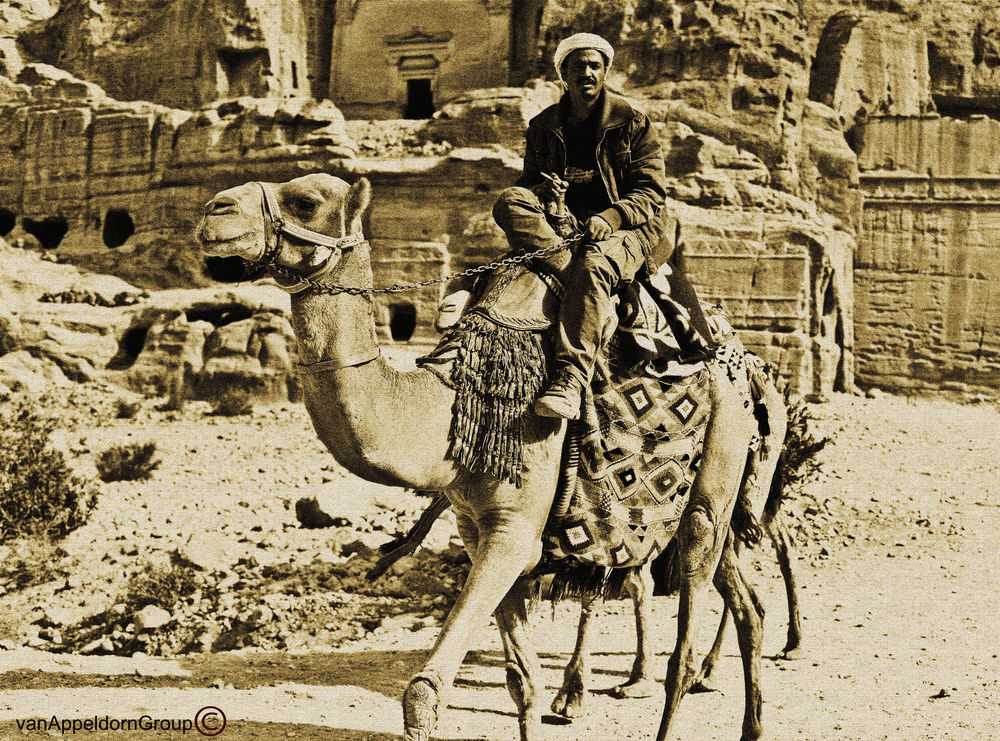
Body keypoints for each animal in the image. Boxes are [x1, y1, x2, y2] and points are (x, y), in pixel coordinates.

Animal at [197, 172, 764, 740]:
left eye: (306, 201)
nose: (214, 211)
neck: (447, 402)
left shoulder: (515, 529)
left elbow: (423, 693)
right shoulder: (477, 528)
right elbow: (522, 682)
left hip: (715, 473)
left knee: (685, 633)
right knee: (744, 605)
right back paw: (748, 721)